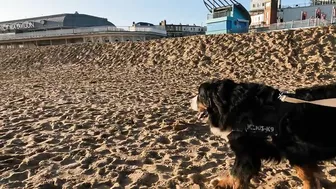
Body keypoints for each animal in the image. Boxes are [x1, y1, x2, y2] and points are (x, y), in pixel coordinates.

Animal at [190, 78, 336, 189]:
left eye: (200, 95)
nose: (189, 101)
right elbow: (234, 173)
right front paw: (223, 183)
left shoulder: (248, 152)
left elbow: (237, 173)